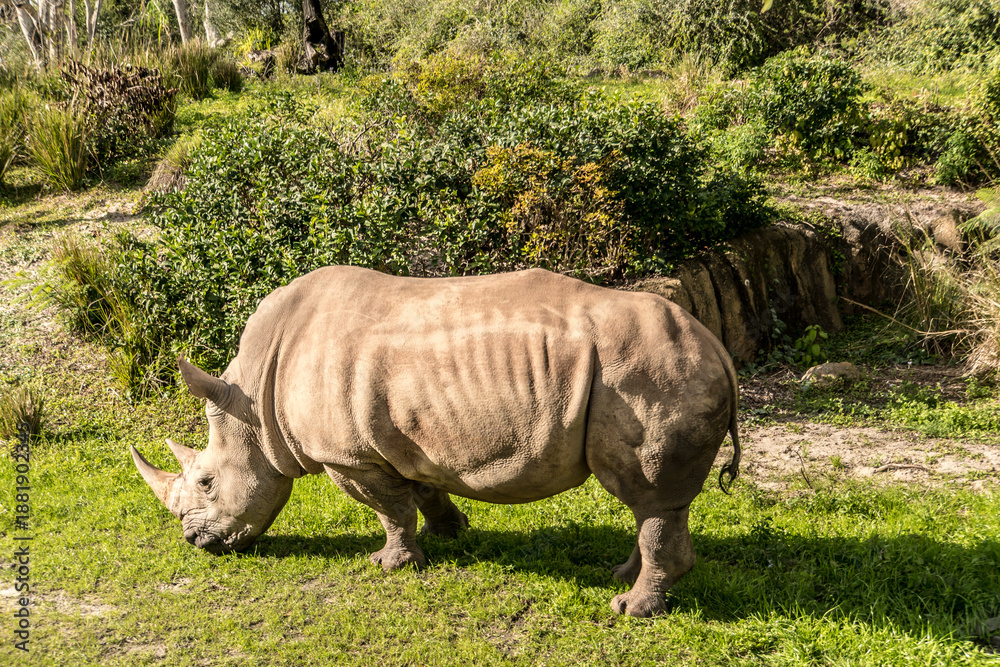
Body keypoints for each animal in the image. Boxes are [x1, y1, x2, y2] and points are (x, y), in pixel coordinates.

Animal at [132, 266, 740, 617]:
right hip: (660, 369)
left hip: (653, 375)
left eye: (207, 482)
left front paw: (390, 565)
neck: (254, 404)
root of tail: (719, 347)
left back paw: (627, 607)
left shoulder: (347, 457)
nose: (195, 542)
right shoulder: (406, 441)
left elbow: (390, 508)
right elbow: (423, 490)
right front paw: (450, 533)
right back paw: (621, 576)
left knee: (652, 497)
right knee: (653, 506)